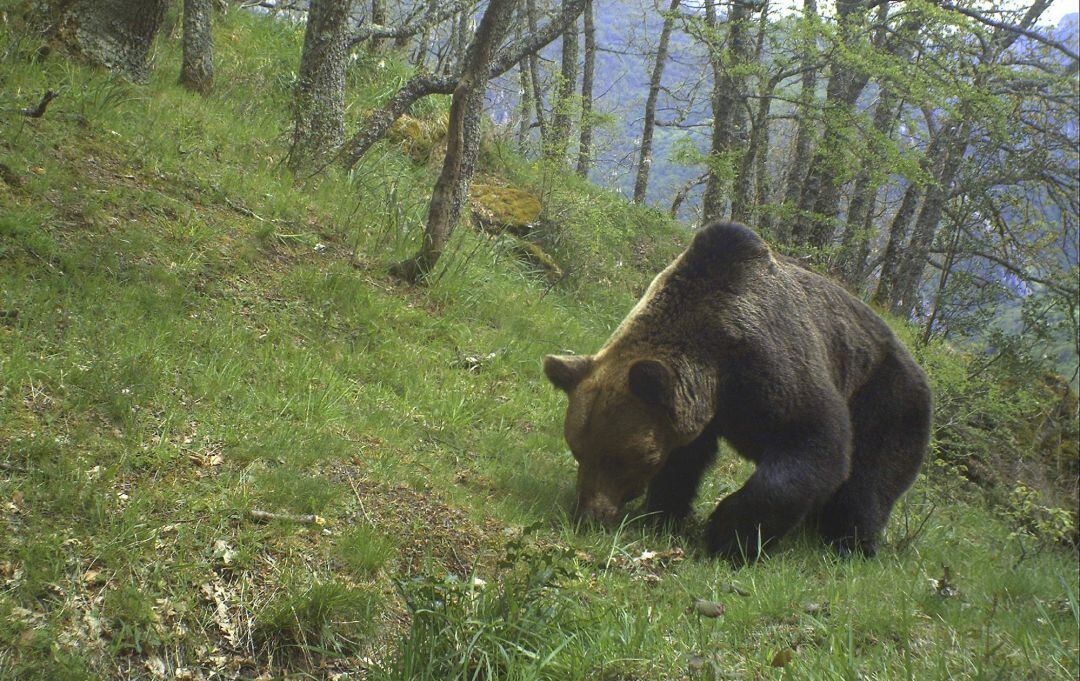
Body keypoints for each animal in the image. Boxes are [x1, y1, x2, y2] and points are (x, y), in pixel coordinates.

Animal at [544, 221, 933, 561]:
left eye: (624, 457)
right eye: (579, 450)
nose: (591, 513)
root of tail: (917, 365)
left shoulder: (771, 364)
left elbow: (814, 439)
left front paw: (727, 535)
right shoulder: (700, 409)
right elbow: (685, 461)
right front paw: (663, 513)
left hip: (887, 398)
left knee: (867, 484)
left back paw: (851, 545)